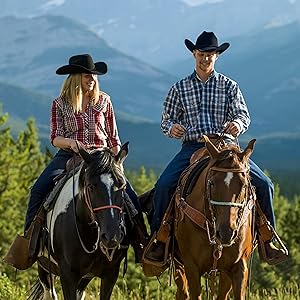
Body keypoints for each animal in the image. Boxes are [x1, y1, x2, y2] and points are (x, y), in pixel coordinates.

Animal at [30, 143, 130, 300]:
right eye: (90, 186)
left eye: (123, 186)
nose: (111, 237)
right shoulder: (68, 275)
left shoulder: (111, 274)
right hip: (44, 266)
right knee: (49, 293)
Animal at [175, 136, 256, 300]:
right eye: (211, 183)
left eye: (244, 185)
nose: (226, 233)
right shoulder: (191, 266)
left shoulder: (239, 266)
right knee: (182, 292)